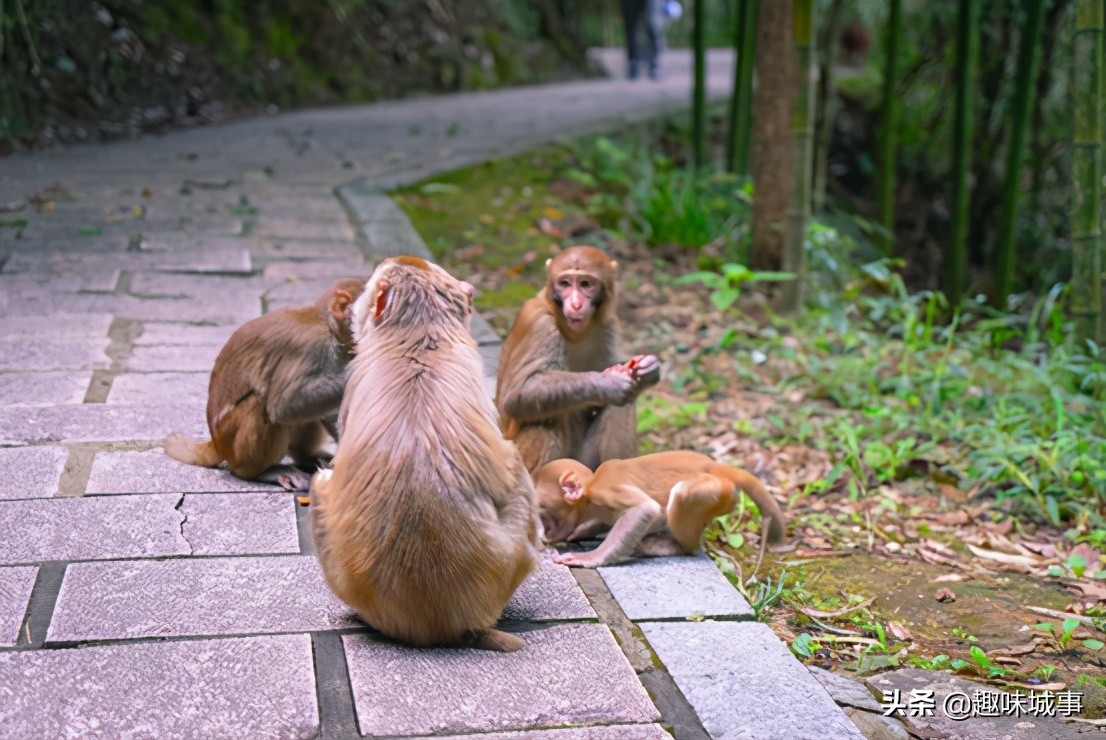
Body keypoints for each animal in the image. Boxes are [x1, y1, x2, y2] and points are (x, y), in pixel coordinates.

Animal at [161, 274, 364, 486]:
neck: (328, 327)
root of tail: (216, 444)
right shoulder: (309, 348)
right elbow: (282, 405)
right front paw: (354, 374)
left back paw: (305, 457)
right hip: (232, 442)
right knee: (260, 403)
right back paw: (260, 472)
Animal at [495, 242, 663, 473]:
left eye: (585, 284)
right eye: (565, 283)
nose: (575, 304)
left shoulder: (607, 325)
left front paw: (648, 369)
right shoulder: (541, 325)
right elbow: (518, 393)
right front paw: (608, 384)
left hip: (584, 462)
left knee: (622, 405)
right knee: (546, 416)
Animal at [533, 451, 787, 566]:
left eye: (542, 509)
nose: (547, 531)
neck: (591, 488)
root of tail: (717, 468)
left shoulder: (605, 491)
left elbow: (645, 509)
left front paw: (590, 557)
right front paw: (579, 534)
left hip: (716, 491)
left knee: (682, 494)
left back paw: (675, 547)